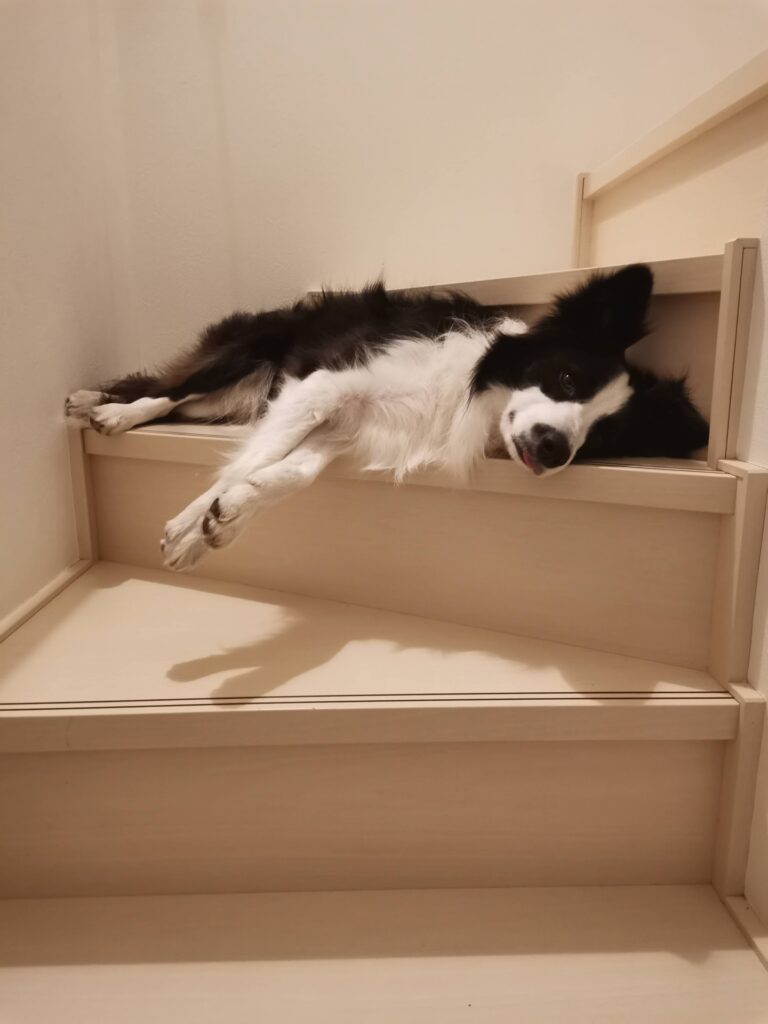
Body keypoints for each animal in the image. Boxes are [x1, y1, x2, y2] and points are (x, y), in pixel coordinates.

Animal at [66, 264, 708, 571]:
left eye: (603, 436)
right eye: (567, 378)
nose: (554, 447)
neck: (466, 395)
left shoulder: (351, 427)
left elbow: (294, 471)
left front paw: (232, 513)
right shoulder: (327, 385)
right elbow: (251, 459)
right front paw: (188, 532)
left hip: (237, 397)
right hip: (243, 358)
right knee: (168, 390)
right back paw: (106, 410)